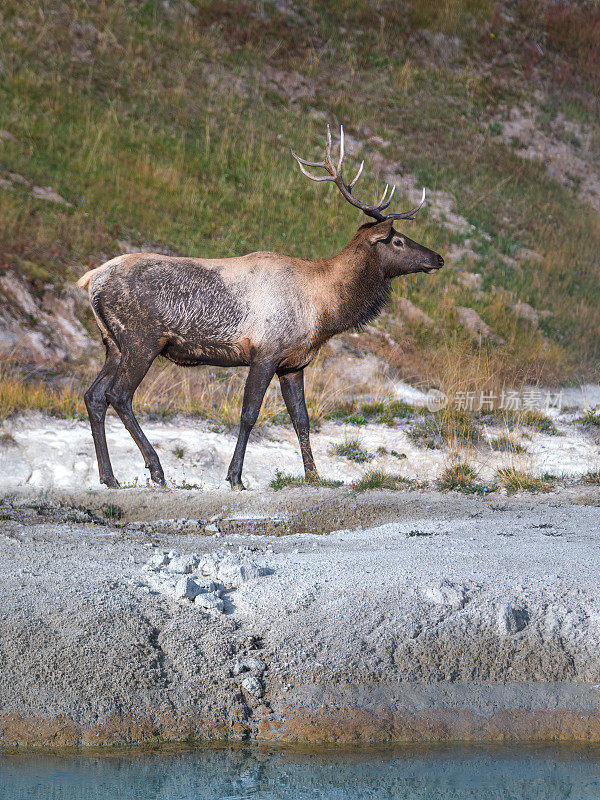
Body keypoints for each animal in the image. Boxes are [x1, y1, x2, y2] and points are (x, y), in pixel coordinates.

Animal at [77, 125, 442, 488]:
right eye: (398, 240)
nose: (437, 258)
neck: (324, 310)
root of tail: (90, 279)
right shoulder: (265, 353)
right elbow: (249, 414)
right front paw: (235, 477)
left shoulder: (293, 363)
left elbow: (301, 419)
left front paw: (314, 474)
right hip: (142, 340)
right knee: (118, 395)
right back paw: (155, 469)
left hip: (113, 343)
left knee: (93, 396)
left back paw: (109, 477)